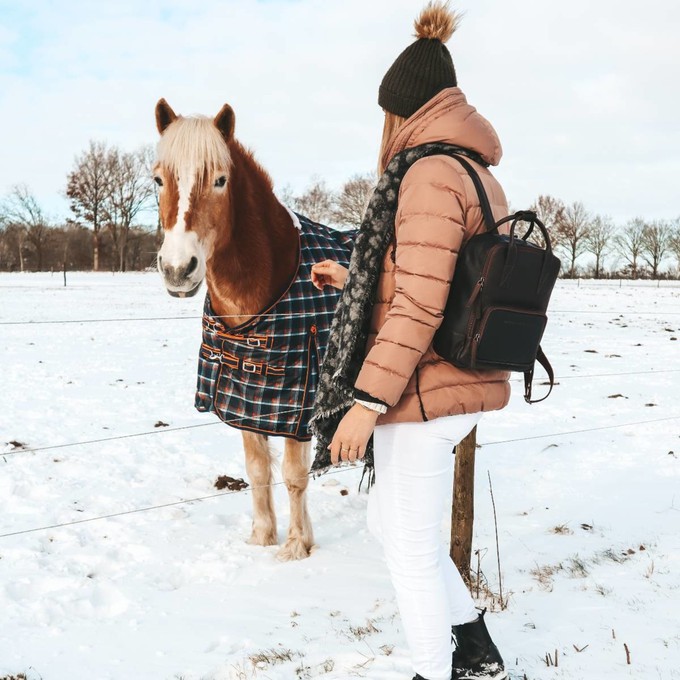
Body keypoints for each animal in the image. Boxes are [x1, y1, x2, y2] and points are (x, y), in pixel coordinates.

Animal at [153, 98, 356, 560]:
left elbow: (294, 475)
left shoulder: (296, 407)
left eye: (220, 180)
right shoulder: (248, 398)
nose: (178, 270)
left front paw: (297, 546)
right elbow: (258, 469)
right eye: (157, 179)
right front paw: (262, 536)